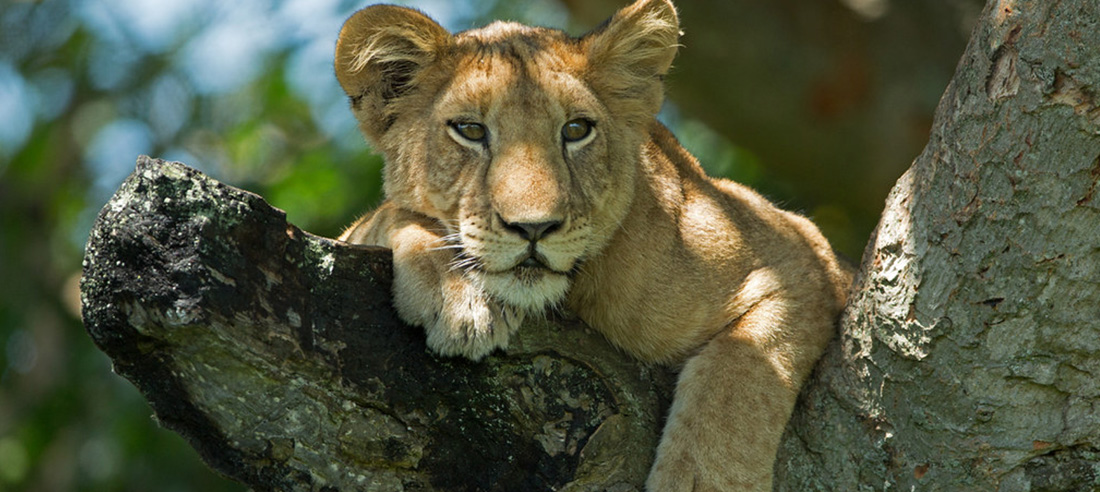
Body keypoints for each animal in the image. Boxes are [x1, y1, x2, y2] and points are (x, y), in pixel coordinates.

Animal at [334, 0, 852, 489]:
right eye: (470, 130)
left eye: (576, 130)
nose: (534, 228)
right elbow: (389, 213)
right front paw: (459, 297)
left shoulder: (798, 251)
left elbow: (743, 371)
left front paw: (708, 482)